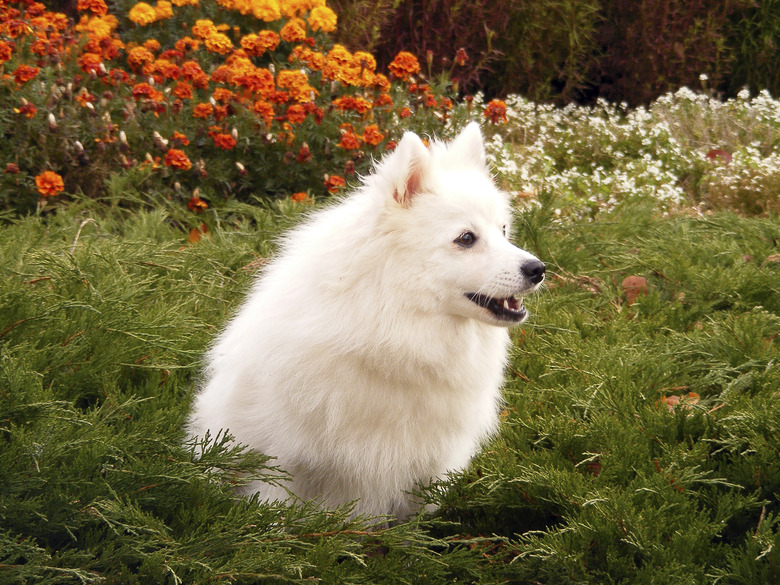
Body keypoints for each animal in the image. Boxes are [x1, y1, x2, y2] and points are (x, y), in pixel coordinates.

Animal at [187, 124, 544, 520]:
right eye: (466, 238)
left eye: (503, 231)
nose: (538, 269)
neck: (392, 331)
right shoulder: (285, 456)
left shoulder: (426, 469)